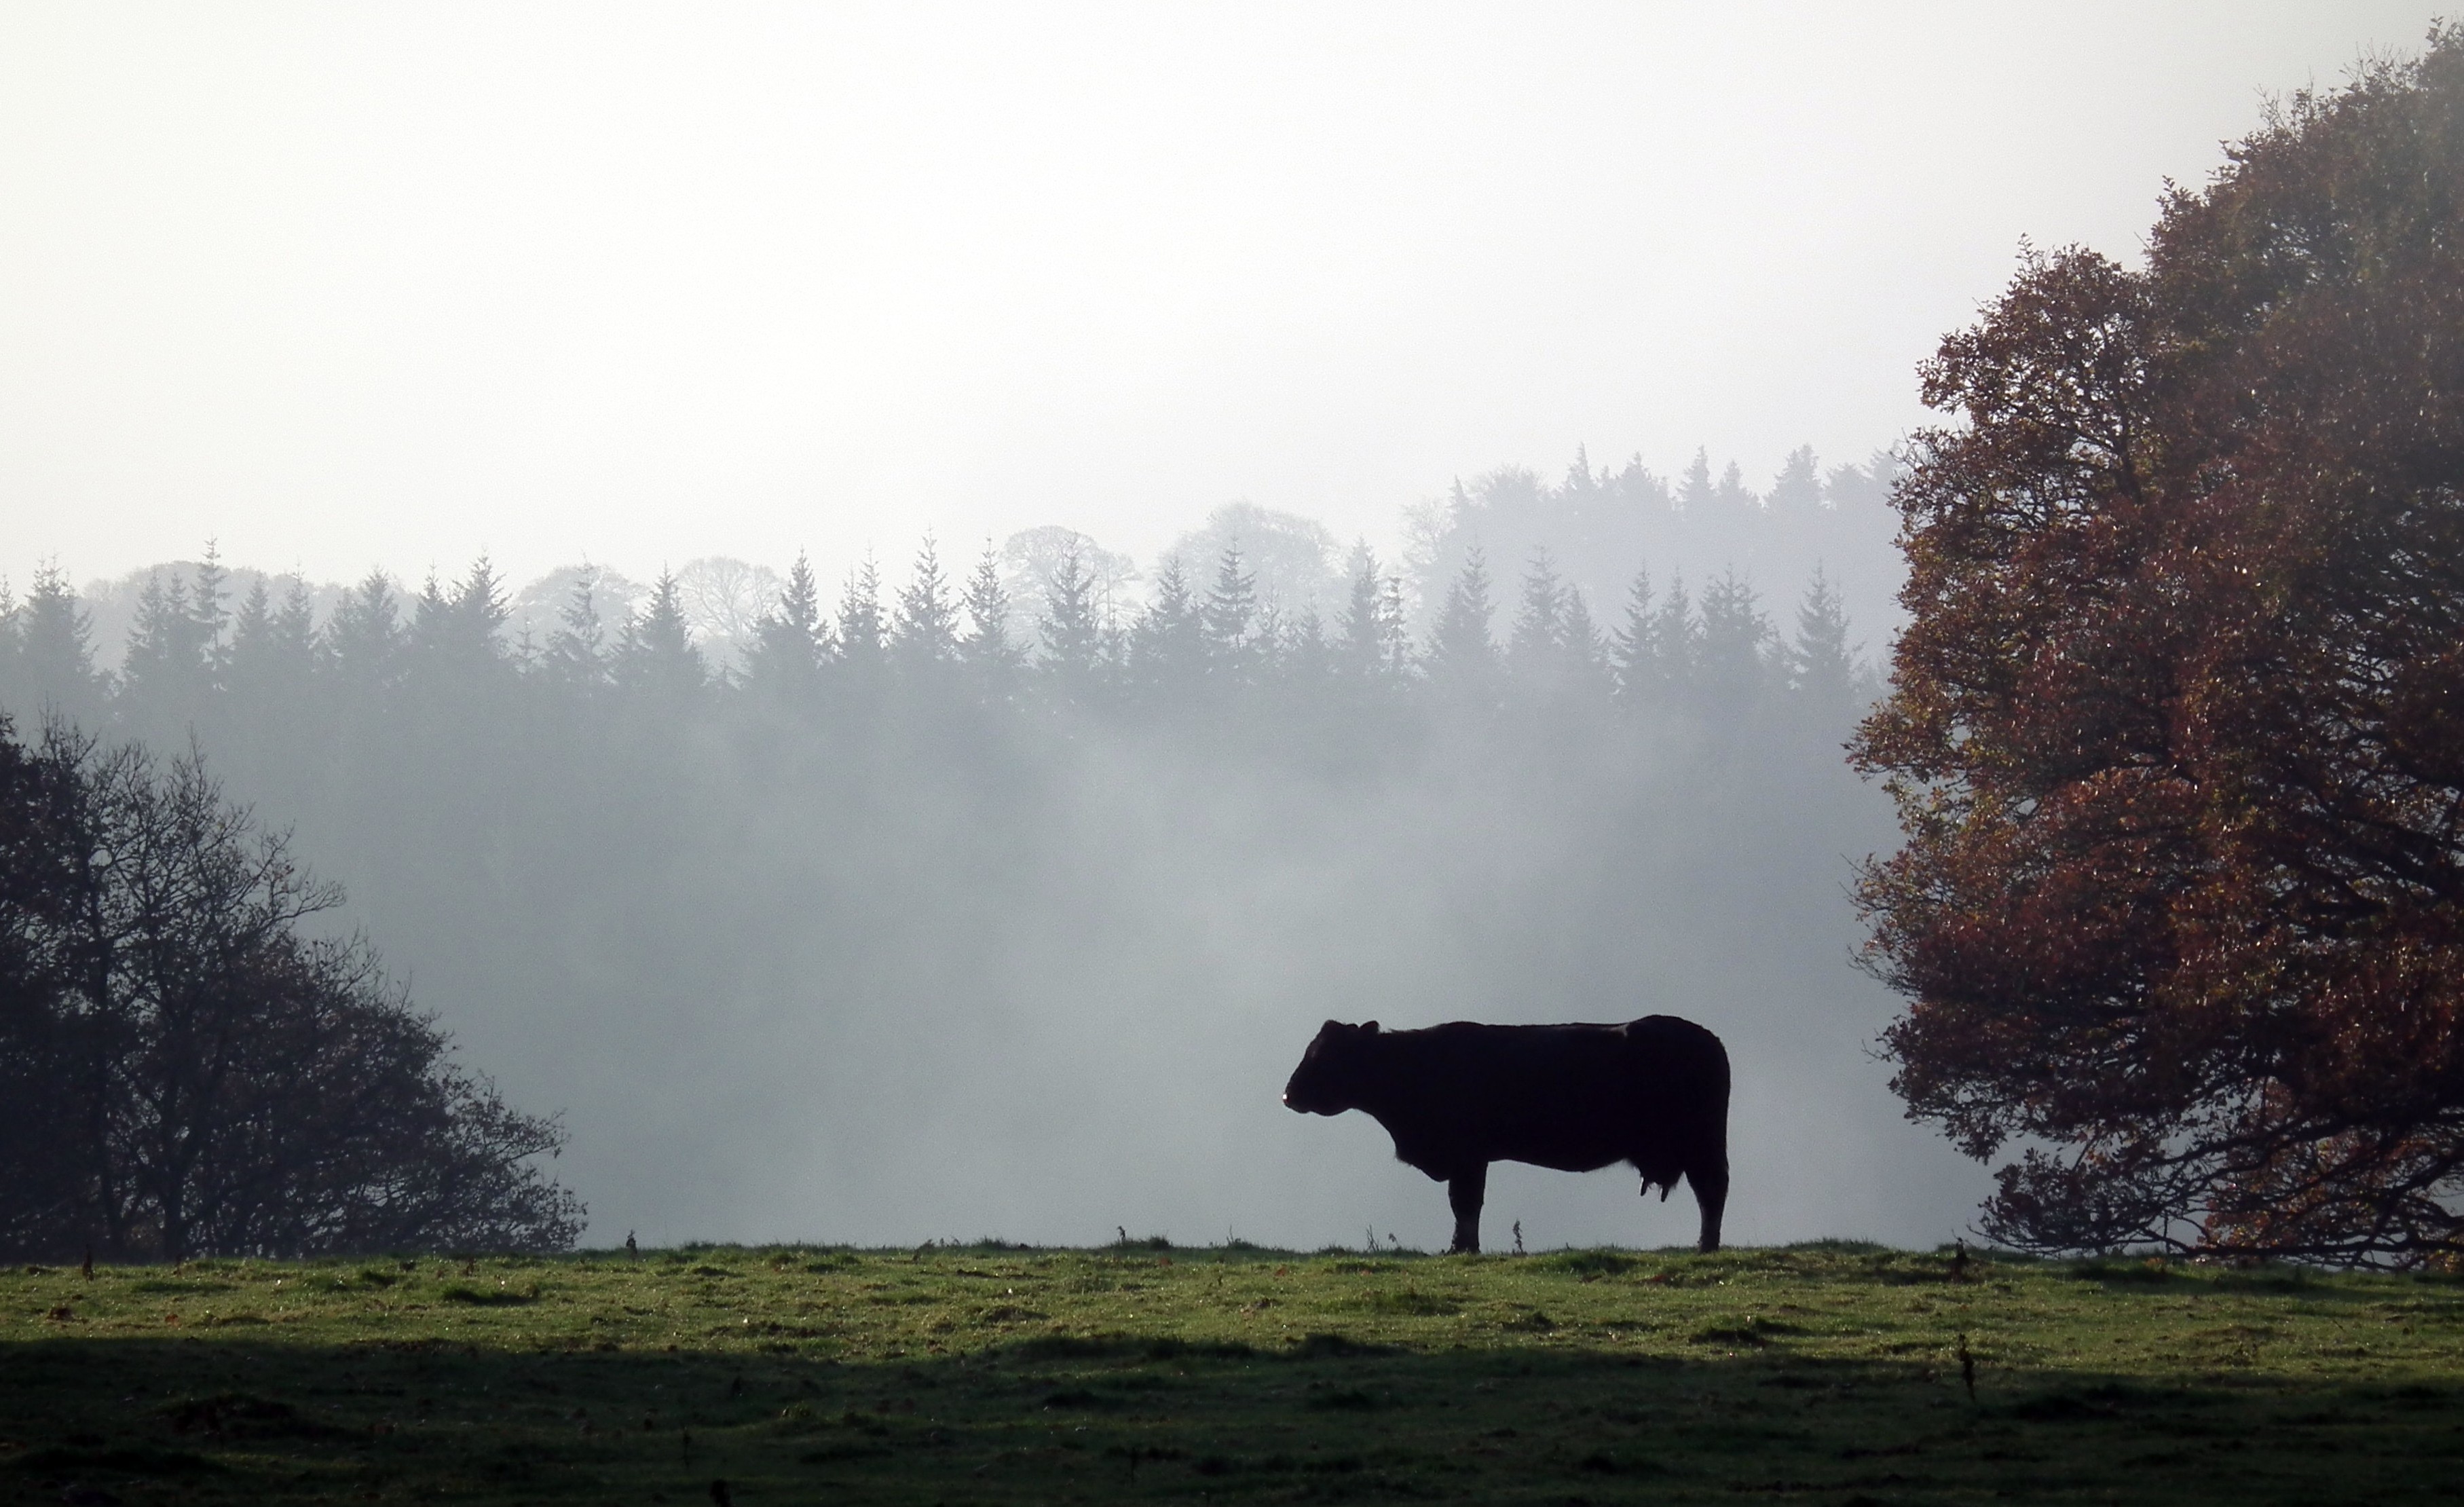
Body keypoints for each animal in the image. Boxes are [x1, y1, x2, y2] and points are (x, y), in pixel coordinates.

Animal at [1291, 1019, 1734, 1256]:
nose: (1288, 1093)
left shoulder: (1468, 1156)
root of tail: (1708, 1038)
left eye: (1324, 1056)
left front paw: (1464, 1247)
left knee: (1711, 1191)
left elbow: (1465, 1204)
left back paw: (1706, 1245)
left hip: (1704, 1146)